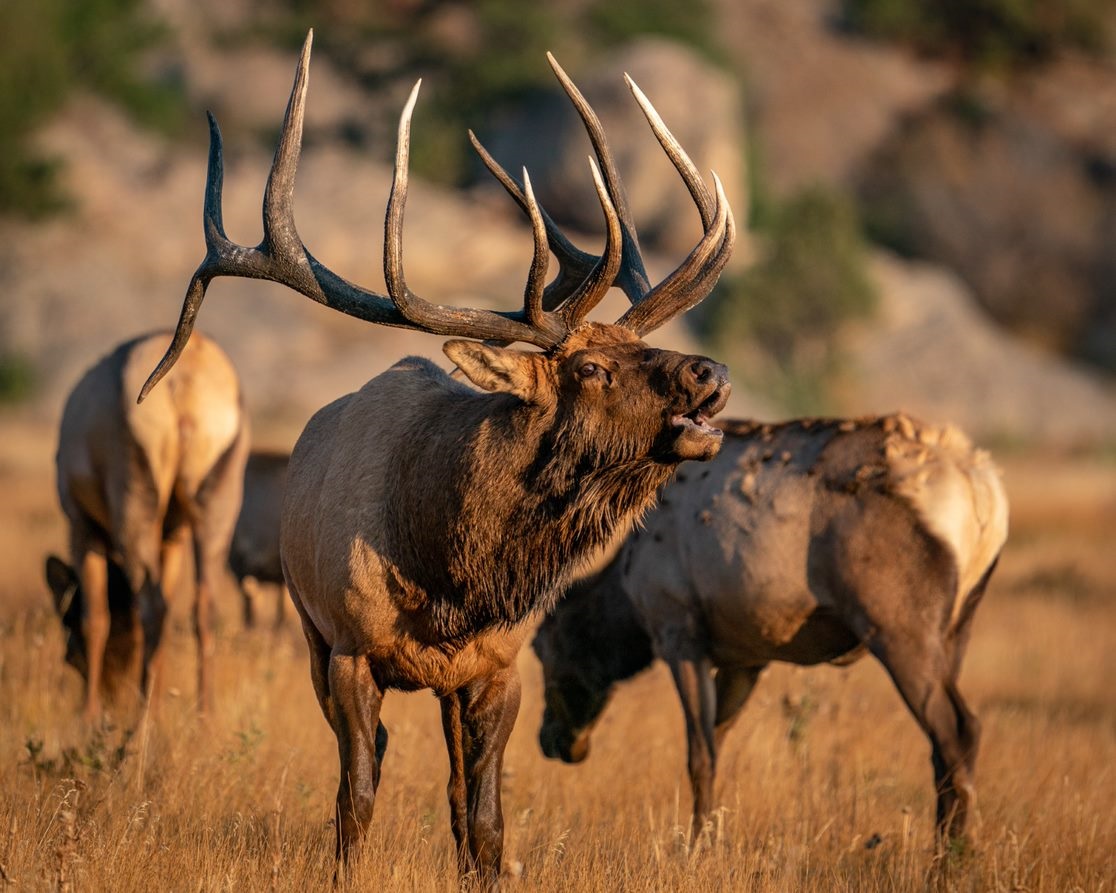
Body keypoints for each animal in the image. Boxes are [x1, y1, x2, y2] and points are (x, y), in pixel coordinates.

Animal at [48, 332, 248, 718]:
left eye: (66, 627)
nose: (112, 693)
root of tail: (186, 377)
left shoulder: (81, 525)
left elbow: (96, 617)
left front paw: (87, 715)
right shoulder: (172, 535)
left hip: (135, 498)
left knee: (153, 607)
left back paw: (141, 720)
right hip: (218, 499)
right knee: (202, 607)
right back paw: (203, 717)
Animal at [533, 415, 1013, 848]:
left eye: (541, 649)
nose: (550, 739)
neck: (627, 594)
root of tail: (983, 492)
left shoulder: (678, 632)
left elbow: (699, 755)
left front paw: (694, 847)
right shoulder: (747, 658)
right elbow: (717, 741)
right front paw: (709, 838)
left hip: (898, 626)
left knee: (958, 729)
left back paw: (950, 860)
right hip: (958, 626)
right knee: (943, 744)